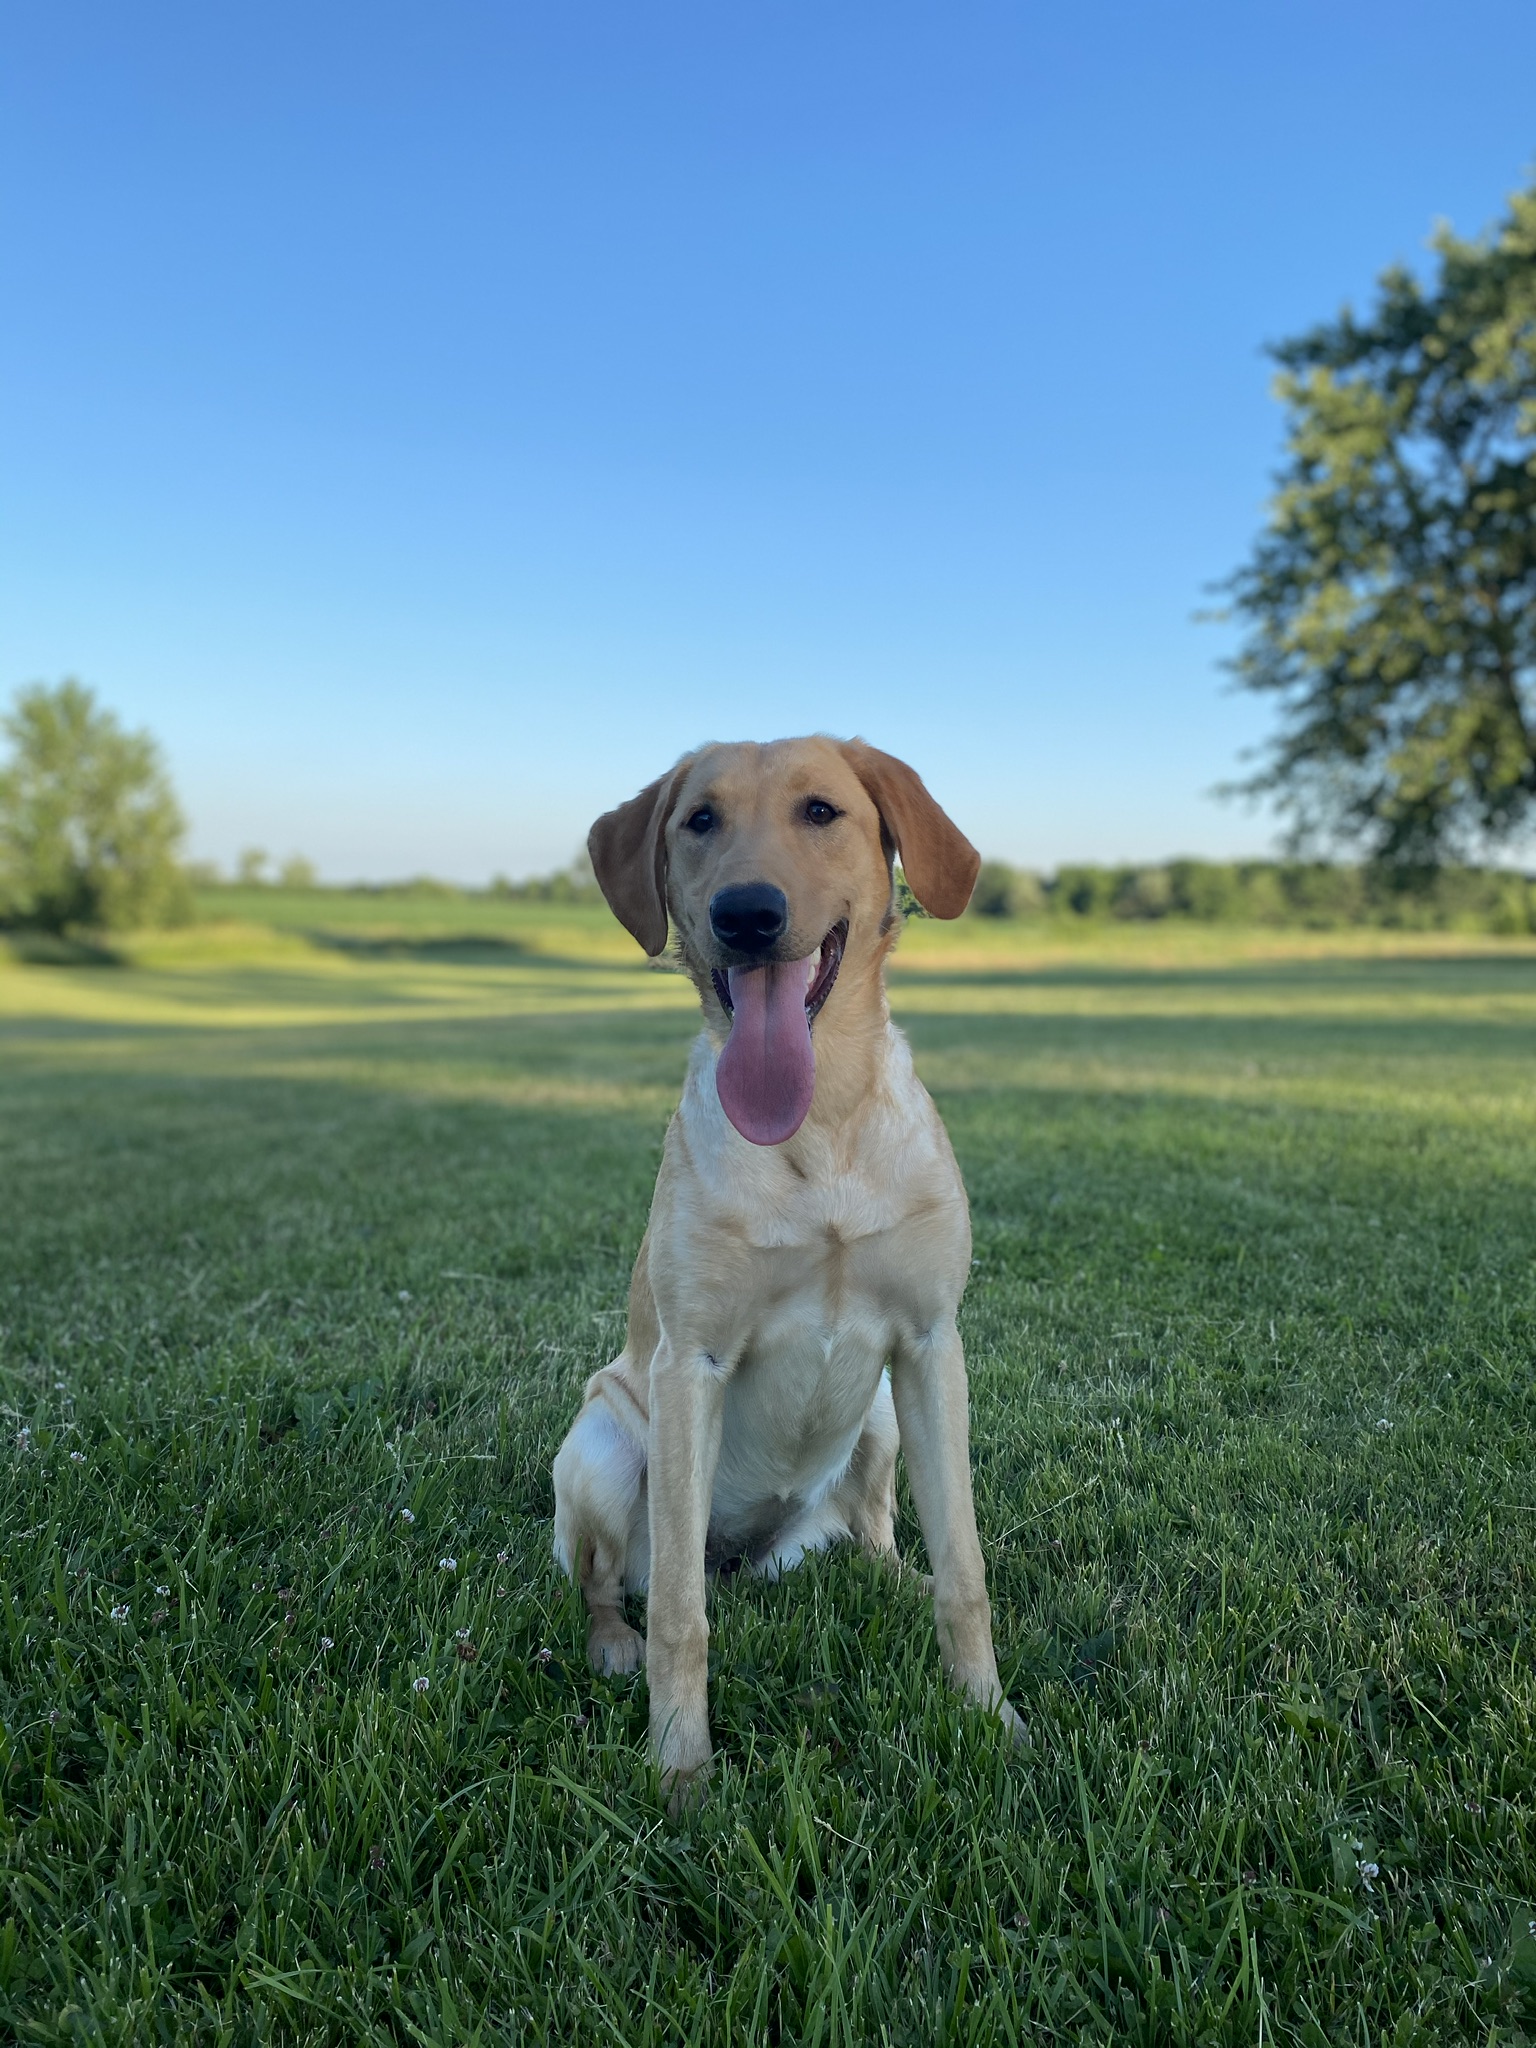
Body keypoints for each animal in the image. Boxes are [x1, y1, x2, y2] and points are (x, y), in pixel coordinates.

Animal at [552, 737, 1024, 1794]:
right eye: (700, 821)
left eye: (820, 811)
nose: (748, 914)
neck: (821, 1127)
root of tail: (748, 1553)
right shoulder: (689, 1364)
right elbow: (680, 1618)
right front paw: (680, 1772)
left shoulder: (931, 1345)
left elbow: (967, 1573)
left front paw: (989, 1714)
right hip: (599, 1447)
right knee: (614, 1587)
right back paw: (612, 1644)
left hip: (883, 1413)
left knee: (876, 1530)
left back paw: (894, 1575)